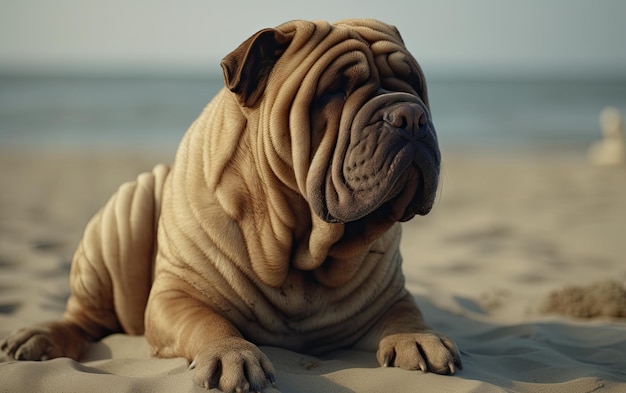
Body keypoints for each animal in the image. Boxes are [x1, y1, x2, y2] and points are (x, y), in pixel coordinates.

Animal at [1, 19, 458, 392]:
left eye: (413, 83)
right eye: (334, 90)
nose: (410, 115)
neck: (301, 246)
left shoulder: (389, 293)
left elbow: (405, 310)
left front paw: (420, 338)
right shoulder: (175, 296)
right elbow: (208, 320)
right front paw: (231, 354)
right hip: (126, 212)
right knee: (84, 317)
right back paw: (41, 337)